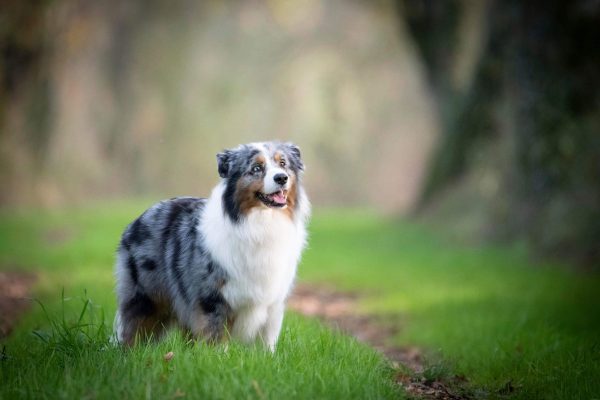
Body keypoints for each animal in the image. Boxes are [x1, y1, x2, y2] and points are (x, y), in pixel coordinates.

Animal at [113, 141, 310, 350]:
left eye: (283, 164)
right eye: (257, 168)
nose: (281, 178)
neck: (260, 224)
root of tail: (138, 219)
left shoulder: (273, 302)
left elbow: (266, 341)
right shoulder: (211, 298)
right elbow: (216, 336)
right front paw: (217, 356)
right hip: (146, 298)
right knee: (133, 328)